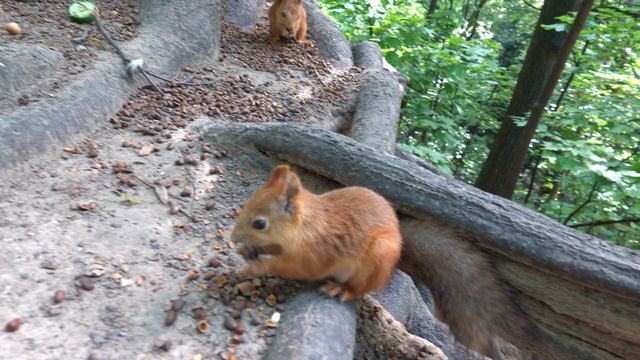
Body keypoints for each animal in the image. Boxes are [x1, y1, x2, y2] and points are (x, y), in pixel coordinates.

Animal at [230, 165, 400, 300]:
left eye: (259, 224)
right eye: (245, 204)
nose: (233, 239)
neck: (304, 227)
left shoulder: (314, 257)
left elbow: (292, 268)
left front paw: (254, 268)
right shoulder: (282, 245)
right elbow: (272, 247)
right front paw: (250, 249)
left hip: (378, 257)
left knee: (359, 288)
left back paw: (341, 289)